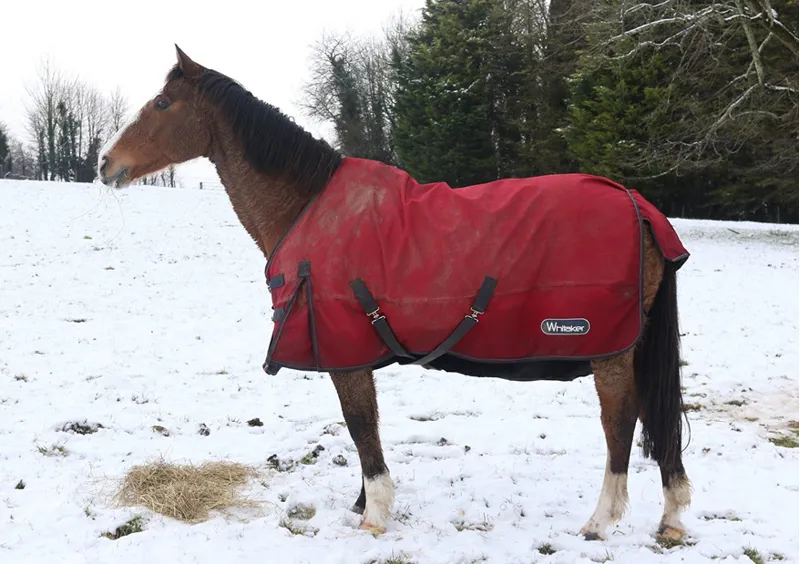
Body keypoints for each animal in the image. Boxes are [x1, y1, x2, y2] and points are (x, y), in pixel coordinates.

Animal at [98, 45, 692, 542]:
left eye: (163, 102)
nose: (106, 163)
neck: (308, 204)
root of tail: (638, 206)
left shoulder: (345, 355)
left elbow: (362, 428)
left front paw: (375, 514)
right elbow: (364, 430)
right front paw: (365, 504)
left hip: (608, 350)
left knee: (621, 421)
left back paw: (601, 521)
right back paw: (671, 518)